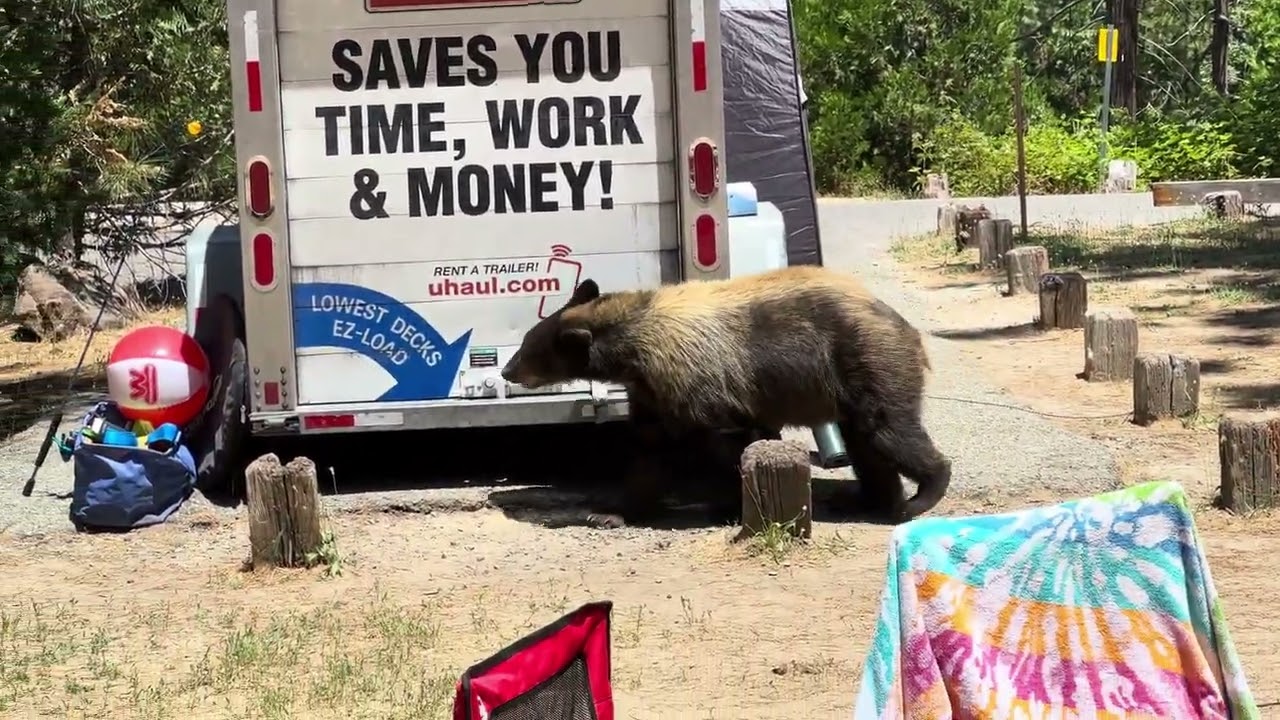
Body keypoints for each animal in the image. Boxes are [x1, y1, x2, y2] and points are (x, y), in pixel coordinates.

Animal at [499, 264, 952, 528]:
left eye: (528, 348)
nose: (506, 370)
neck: (631, 348)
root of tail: (905, 326)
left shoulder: (702, 382)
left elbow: (724, 441)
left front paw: (730, 503)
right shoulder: (654, 393)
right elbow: (648, 454)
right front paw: (610, 512)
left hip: (867, 360)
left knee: (887, 431)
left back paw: (921, 495)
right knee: (865, 444)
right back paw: (874, 500)